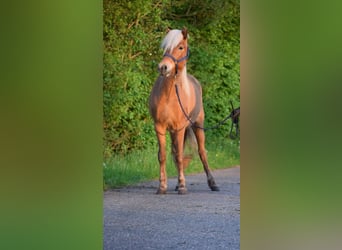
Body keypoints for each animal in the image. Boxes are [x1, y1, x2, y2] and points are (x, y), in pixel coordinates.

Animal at [149, 27, 219, 195]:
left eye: (180, 47)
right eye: (165, 47)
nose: (163, 67)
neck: (170, 94)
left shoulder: (179, 128)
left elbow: (181, 156)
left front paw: (182, 186)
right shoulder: (159, 127)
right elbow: (163, 156)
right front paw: (162, 186)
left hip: (198, 126)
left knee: (202, 152)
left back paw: (213, 184)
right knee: (175, 153)